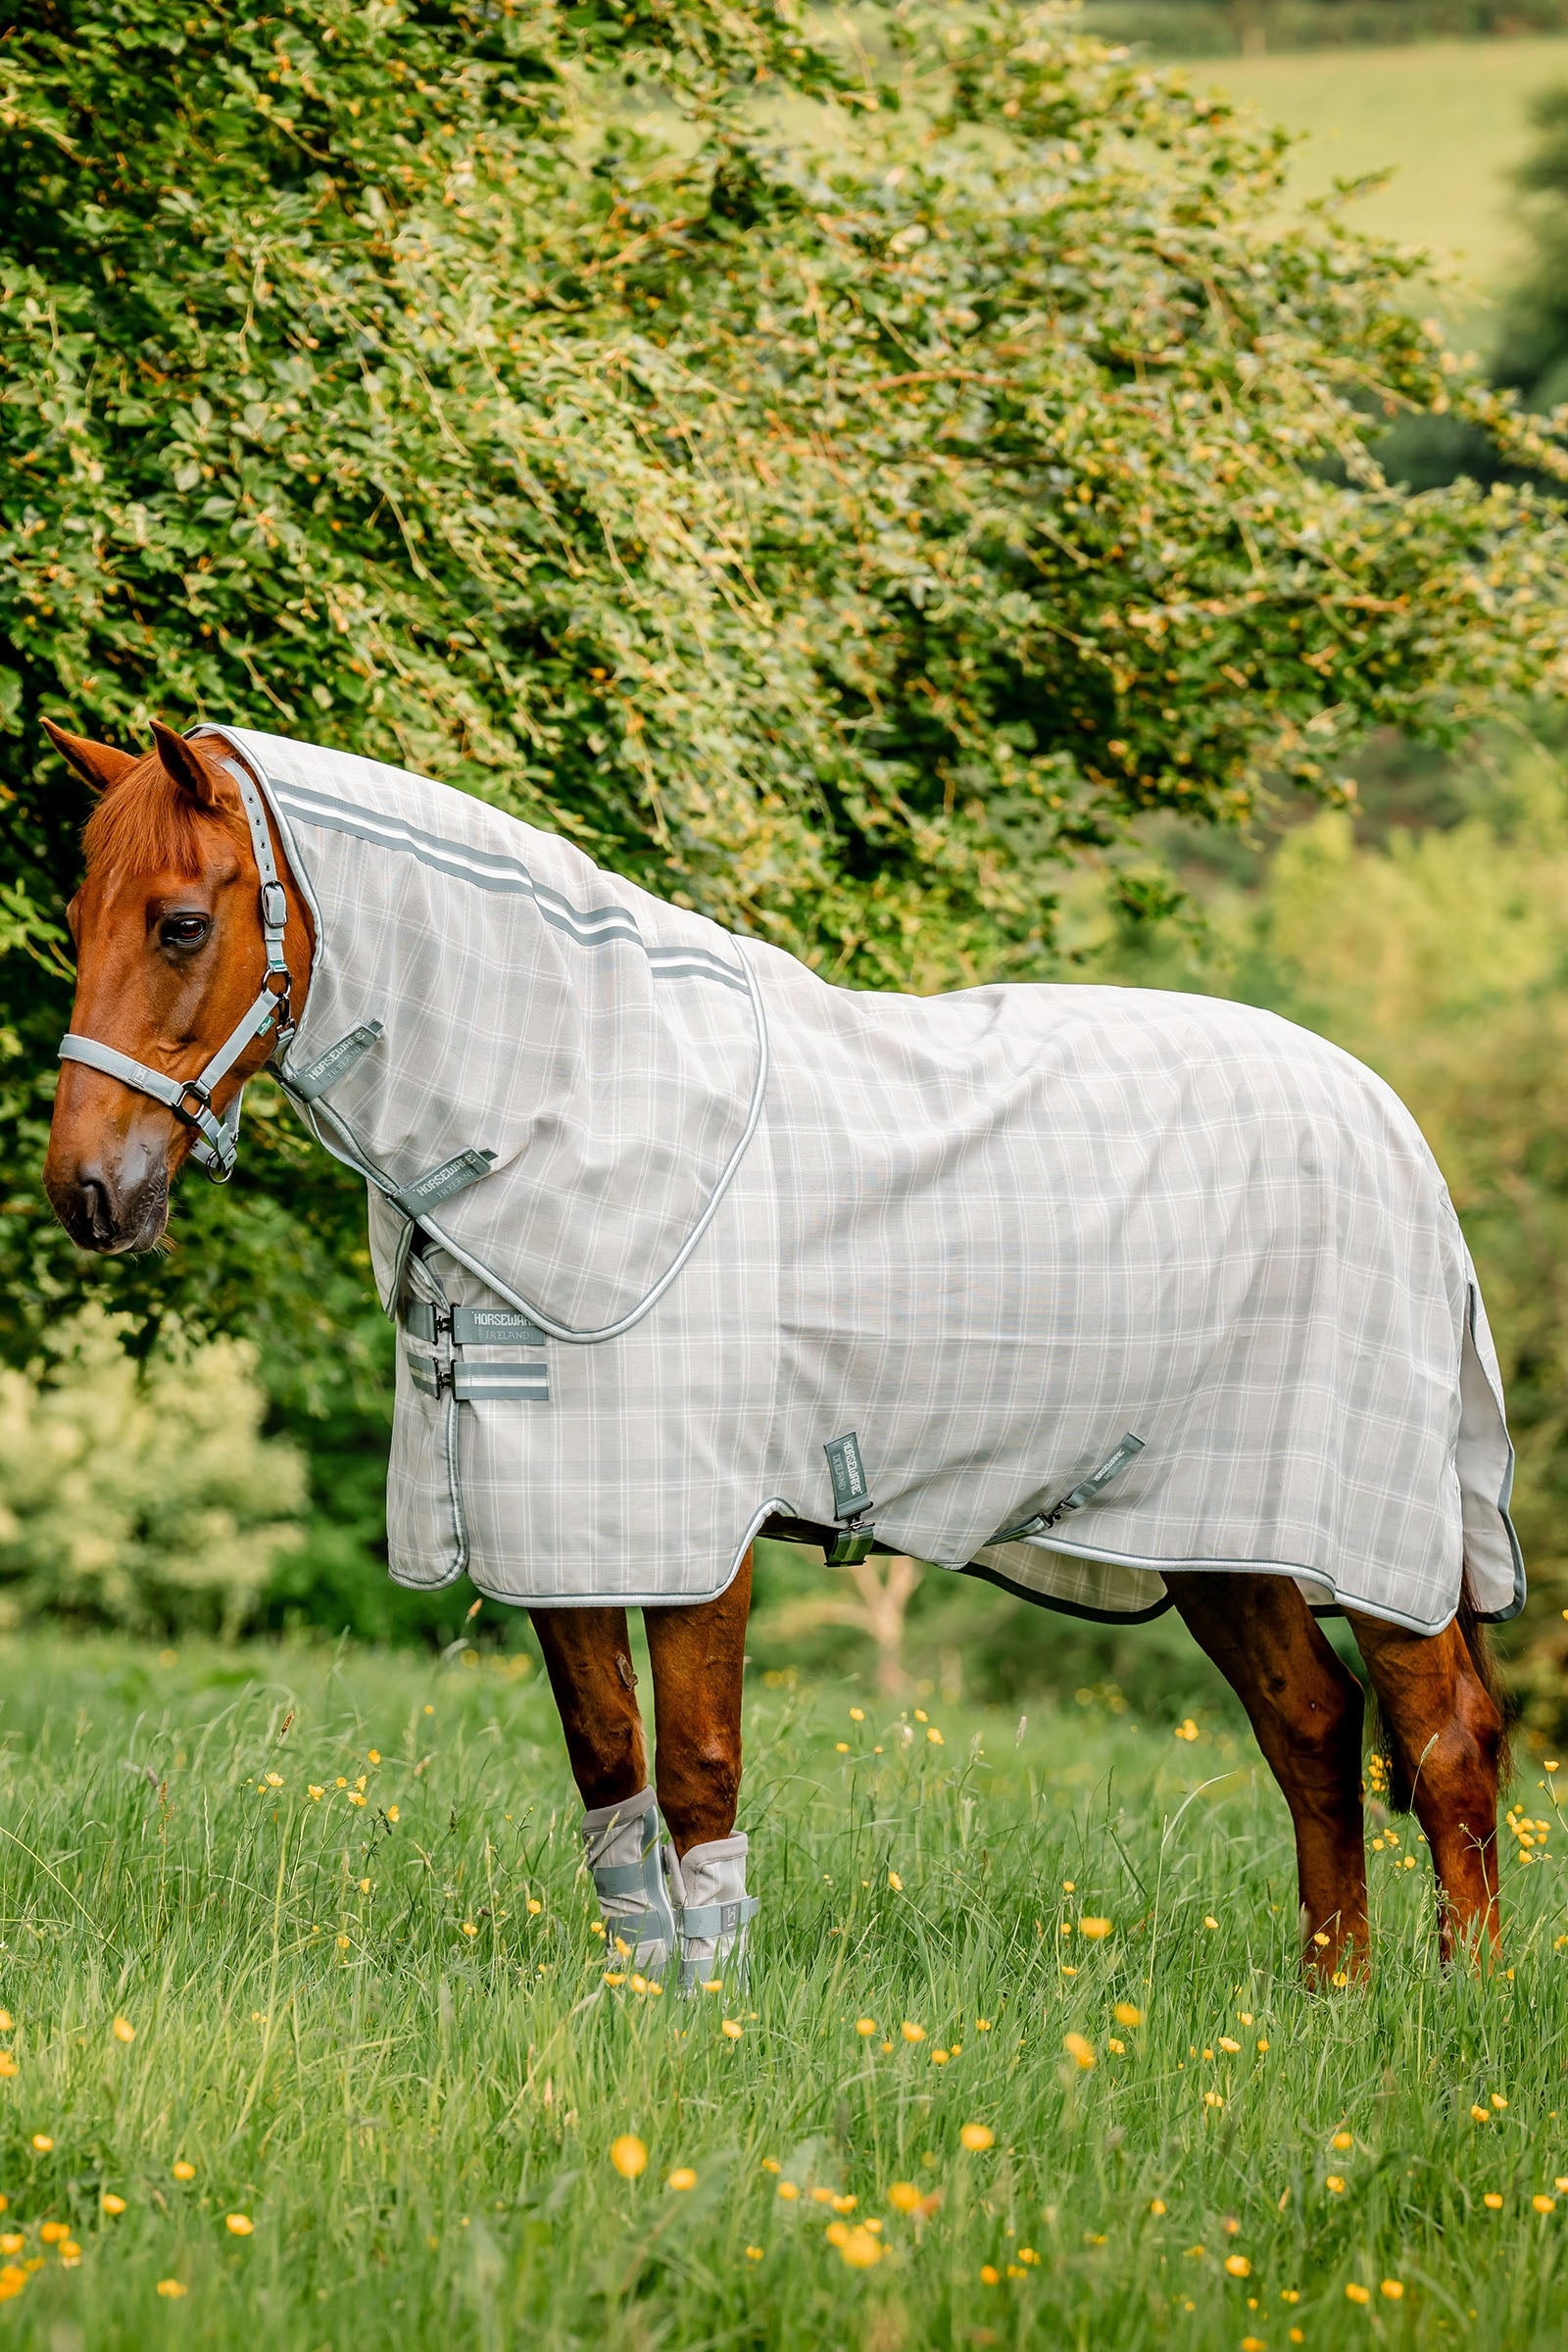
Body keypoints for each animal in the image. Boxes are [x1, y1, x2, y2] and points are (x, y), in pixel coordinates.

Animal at [41, 716, 1512, 1985]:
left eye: (180, 924)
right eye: (72, 921)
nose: (89, 1195)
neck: (580, 1106)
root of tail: (1391, 1122)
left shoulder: (698, 1529)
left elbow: (698, 1767)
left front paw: (713, 2006)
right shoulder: (559, 1522)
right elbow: (611, 1770)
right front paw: (643, 1995)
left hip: (1372, 1533)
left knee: (1443, 1741)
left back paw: (1455, 2004)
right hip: (1221, 1536)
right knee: (1312, 1732)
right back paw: (1332, 1995)